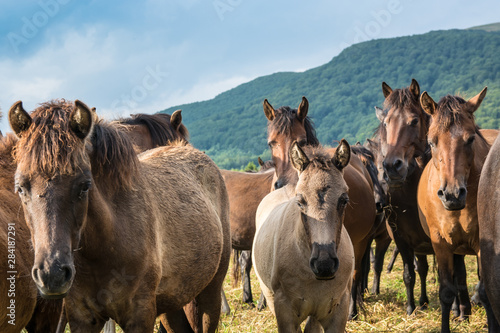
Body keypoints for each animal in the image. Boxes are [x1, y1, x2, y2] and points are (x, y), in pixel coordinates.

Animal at [7, 100, 230, 330]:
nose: (52, 275)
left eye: (84, 185)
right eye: (20, 187)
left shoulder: (140, 317)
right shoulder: (82, 318)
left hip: (210, 293)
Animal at [264, 96, 376, 320]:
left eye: (301, 141)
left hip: (361, 242)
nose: (283, 184)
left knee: (356, 274)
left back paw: (353, 310)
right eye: (271, 142)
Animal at [418, 89, 492, 332]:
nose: (452, 195)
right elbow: (446, 292)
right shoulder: (441, 244)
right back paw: (463, 313)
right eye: (431, 142)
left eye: (470, 138)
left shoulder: (481, 243)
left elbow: (485, 291)